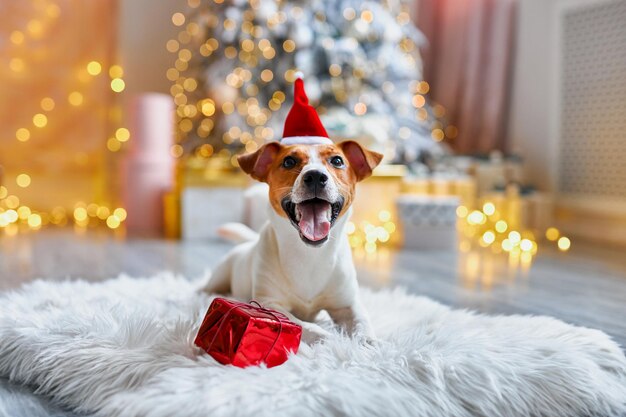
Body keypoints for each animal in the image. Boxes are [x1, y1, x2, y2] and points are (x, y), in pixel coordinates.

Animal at [202, 140, 382, 342]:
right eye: (289, 162)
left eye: (337, 160)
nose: (315, 176)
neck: (310, 254)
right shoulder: (269, 303)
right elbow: (305, 326)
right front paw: (329, 340)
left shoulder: (347, 304)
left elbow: (362, 322)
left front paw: (368, 343)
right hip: (219, 277)